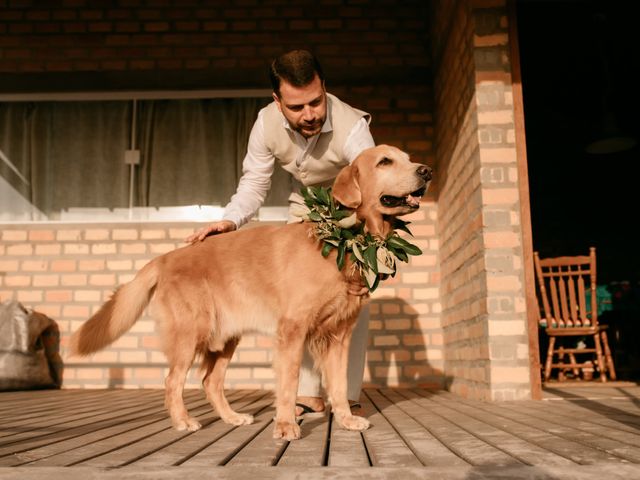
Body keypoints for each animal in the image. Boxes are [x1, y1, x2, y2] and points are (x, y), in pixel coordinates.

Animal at [70, 144, 430, 440]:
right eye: (385, 161)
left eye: (408, 158)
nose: (426, 171)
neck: (343, 239)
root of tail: (165, 257)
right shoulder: (292, 331)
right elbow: (288, 383)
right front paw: (285, 425)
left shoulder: (339, 336)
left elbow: (339, 385)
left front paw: (345, 420)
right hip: (191, 333)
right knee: (173, 381)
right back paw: (183, 421)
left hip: (225, 337)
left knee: (210, 381)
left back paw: (231, 417)